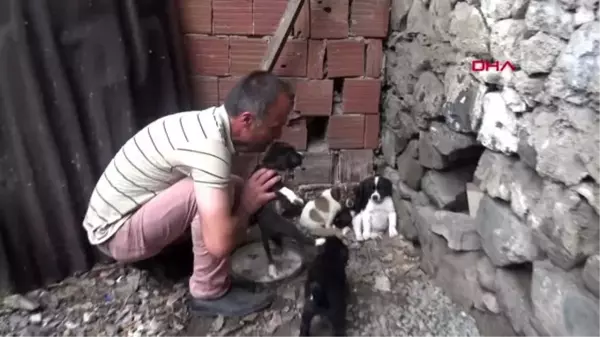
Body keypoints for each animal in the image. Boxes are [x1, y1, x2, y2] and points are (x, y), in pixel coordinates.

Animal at [251, 140, 318, 276]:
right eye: (292, 152)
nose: (303, 155)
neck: (271, 165)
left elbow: (286, 188)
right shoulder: (271, 184)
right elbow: (284, 188)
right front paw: (296, 198)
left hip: (277, 237)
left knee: (282, 245)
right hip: (267, 238)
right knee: (269, 255)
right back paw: (272, 269)